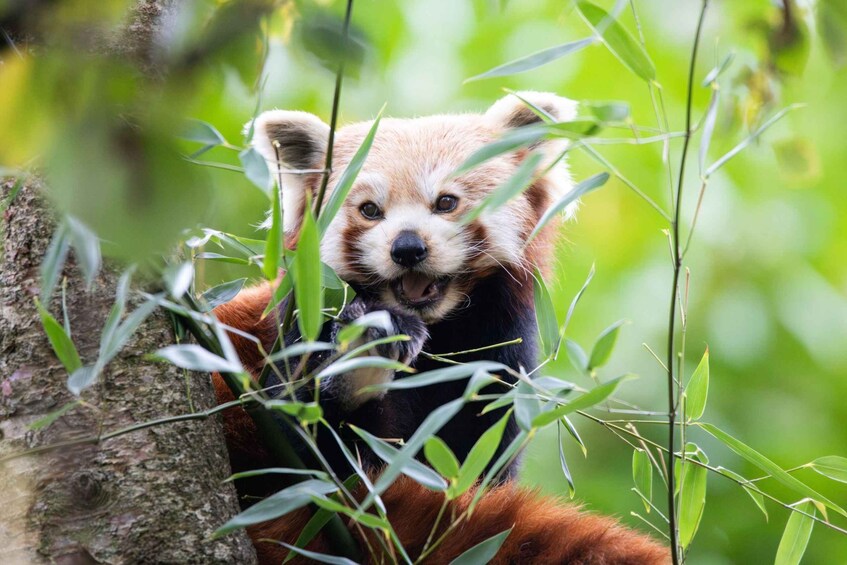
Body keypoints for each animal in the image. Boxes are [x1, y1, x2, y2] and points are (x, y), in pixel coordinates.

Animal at [212, 92, 668, 564]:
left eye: (446, 202)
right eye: (370, 211)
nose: (407, 247)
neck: (438, 336)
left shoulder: (497, 362)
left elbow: (482, 467)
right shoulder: (300, 327)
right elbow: (297, 443)